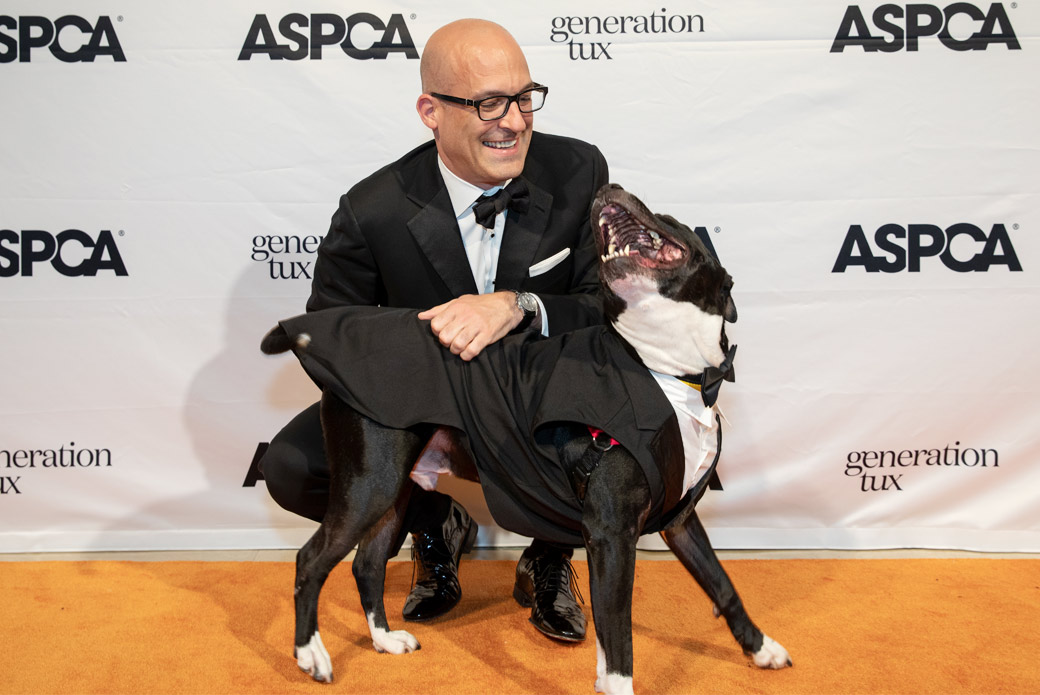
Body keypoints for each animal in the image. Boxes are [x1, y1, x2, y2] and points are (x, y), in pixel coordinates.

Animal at [260, 184, 786, 695]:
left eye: (670, 219)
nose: (609, 186)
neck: (670, 369)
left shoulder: (679, 519)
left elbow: (722, 584)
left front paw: (761, 649)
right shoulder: (612, 533)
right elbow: (619, 643)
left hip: (393, 489)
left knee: (366, 565)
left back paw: (385, 640)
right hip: (369, 484)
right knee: (311, 560)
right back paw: (311, 655)